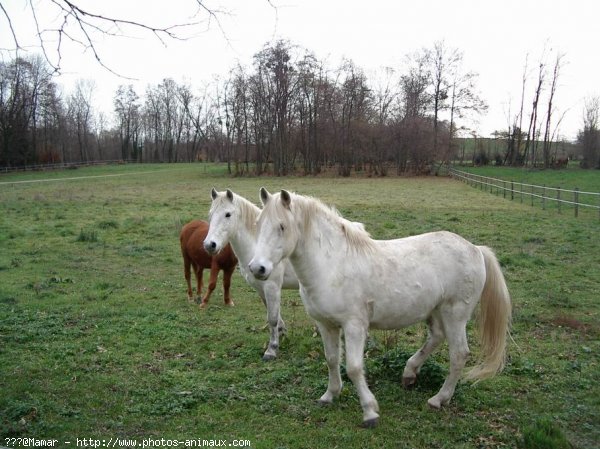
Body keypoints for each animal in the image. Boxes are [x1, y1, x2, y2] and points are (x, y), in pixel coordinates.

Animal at [204, 187, 300, 358]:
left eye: (228, 214)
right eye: (211, 214)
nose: (210, 245)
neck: (257, 246)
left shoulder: (272, 287)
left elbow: (272, 318)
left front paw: (272, 349)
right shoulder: (260, 288)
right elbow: (273, 315)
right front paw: (281, 334)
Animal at [248, 188, 510, 428]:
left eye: (282, 227)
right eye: (258, 225)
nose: (257, 268)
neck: (332, 264)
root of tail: (475, 249)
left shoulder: (354, 326)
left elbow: (354, 368)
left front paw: (370, 412)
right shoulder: (326, 325)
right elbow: (332, 359)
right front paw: (330, 395)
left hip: (454, 315)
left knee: (459, 354)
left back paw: (439, 398)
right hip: (435, 311)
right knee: (436, 337)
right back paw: (409, 373)